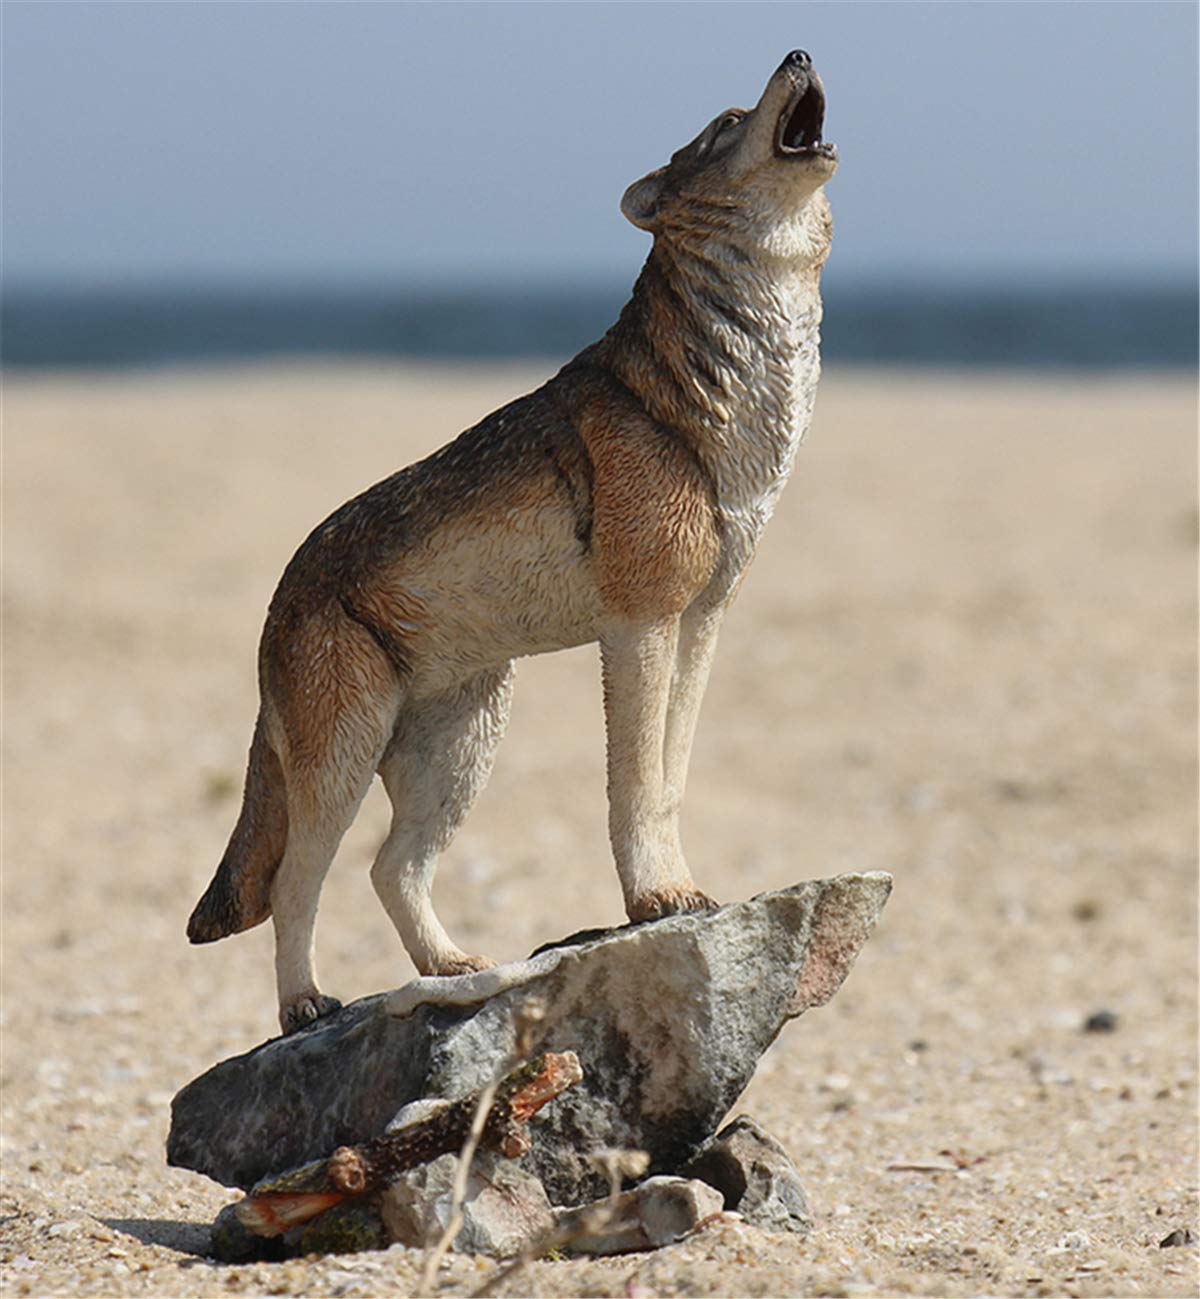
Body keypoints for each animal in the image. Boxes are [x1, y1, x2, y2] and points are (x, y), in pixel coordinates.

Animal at [188, 50, 838, 1033]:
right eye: (728, 121)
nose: (799, 52)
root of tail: (280, 593)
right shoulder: (637, 625)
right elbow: (631, 784)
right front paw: (653, 901)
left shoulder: (703, 620)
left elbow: (670, 780)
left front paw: (680, 888)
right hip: (346, 758)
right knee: (303, 879)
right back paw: (304, 1004)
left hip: (461, 747)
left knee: (390, 867)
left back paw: (452, 969)